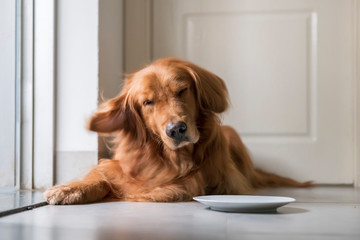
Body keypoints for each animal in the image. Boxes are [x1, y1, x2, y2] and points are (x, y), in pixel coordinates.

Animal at [43, 56, 310, 204]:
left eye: (182, 91)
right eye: (147, 102)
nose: (176, 130)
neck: (169, 156)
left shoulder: (212, 178)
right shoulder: (121, 165)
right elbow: (103, 176)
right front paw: (71, 189)